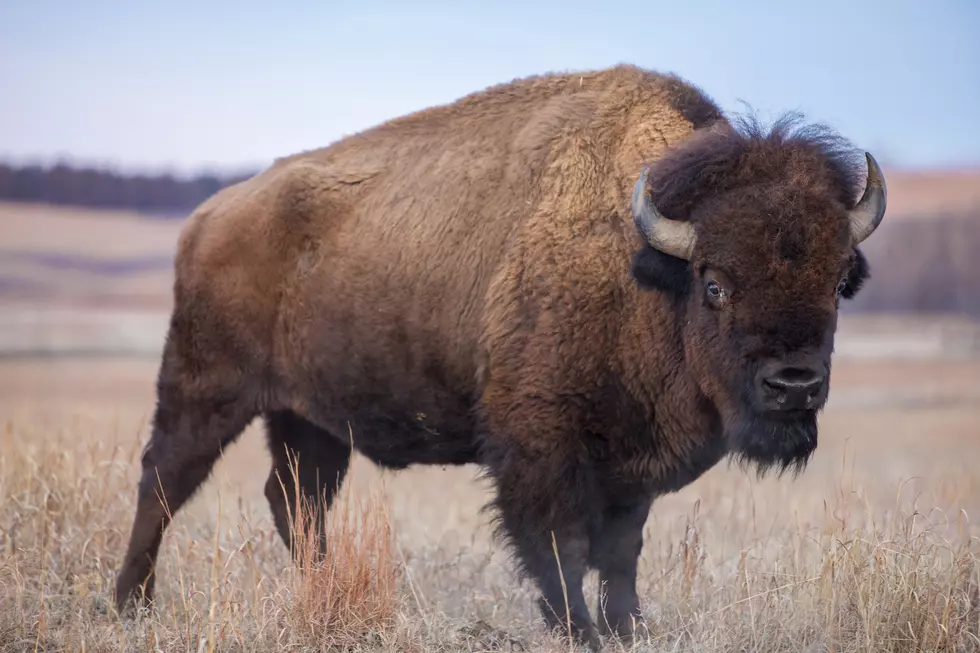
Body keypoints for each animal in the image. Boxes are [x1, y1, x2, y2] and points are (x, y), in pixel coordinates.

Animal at [115, 65, 888, 648]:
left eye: (835, 281)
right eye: (716, 282)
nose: (794, 384)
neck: (641, 267)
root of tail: (209, 217)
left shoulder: (628, 463)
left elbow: (622, 550)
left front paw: (630, 628)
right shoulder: (539, 447)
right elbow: (560, 545)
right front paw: (578, 631)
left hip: (308, 419)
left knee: (296, 500)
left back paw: (321, 591)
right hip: (206, 387)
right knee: (164, 479)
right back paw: (130, 604)